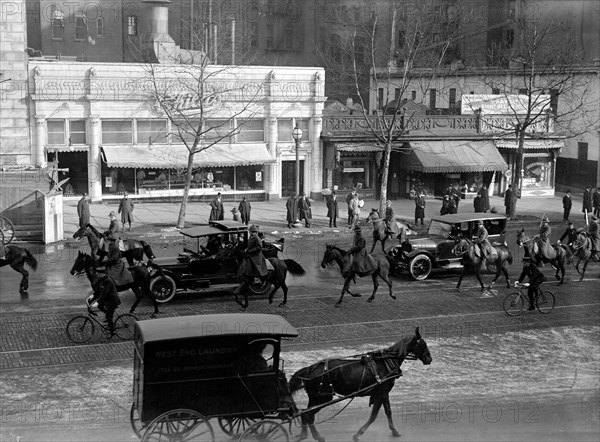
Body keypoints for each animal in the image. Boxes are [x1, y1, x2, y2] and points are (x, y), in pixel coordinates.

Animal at [290, 324, 432, 442]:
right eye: (423, 344)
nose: (429, 359)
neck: (386, 362)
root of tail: (310, 368)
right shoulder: (381, 392)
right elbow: (374, 415)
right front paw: (358, 434)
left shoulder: (383, 393)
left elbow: (388, 411)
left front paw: (394, 431)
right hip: (323, 397)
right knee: (308, 414)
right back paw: (316, 436)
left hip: (315, 397)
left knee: (305, 414)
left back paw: (304, 435)